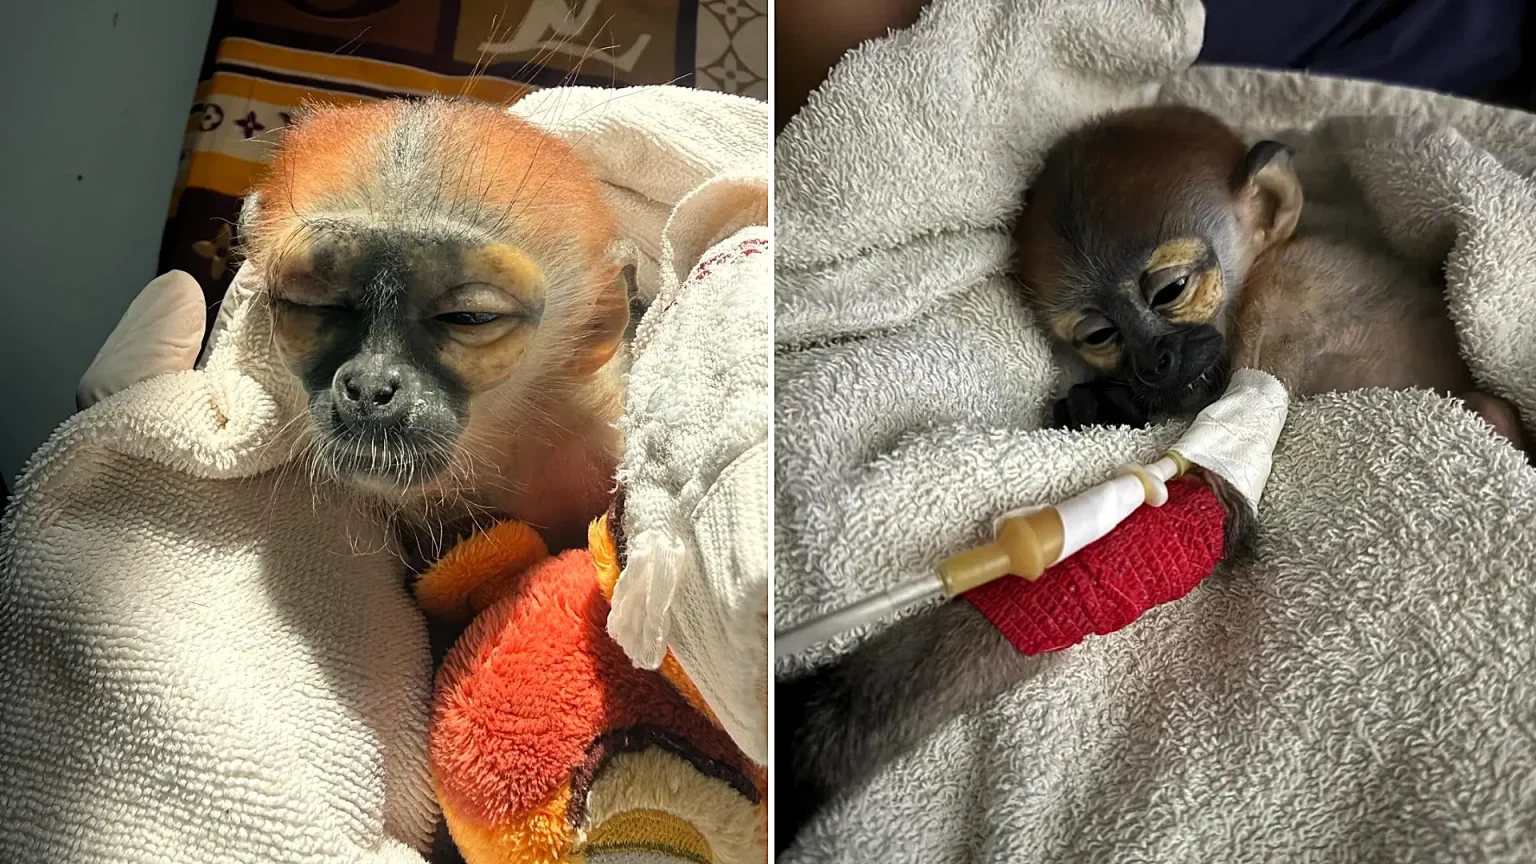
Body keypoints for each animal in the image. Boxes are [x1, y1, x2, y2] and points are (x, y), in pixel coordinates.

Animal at [775, 104, 1527, 848]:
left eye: (1169, 290)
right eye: (1100, 335)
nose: (1152, 364)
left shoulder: (1281, 313)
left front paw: (822, 735)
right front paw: (1100, 405)